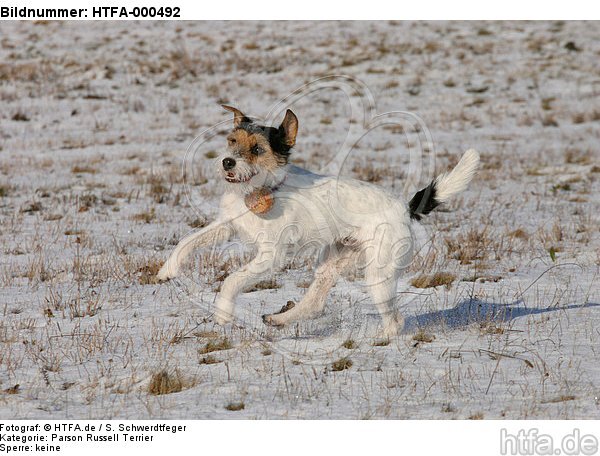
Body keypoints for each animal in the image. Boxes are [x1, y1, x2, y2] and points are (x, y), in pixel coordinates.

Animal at [157, 105, 480, 336]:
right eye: (232, 141)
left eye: (258, 149)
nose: (227, 162)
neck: (260, 191)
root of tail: (404, 207)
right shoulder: (226, 225)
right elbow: (188, 241)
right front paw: (167, 269)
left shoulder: (270, 256)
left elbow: (232, 280)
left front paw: (222, 312)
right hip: (331, 262)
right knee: (315, 301)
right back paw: (279, 320)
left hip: (379, 273)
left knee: (395, 322)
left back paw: (377, 340)